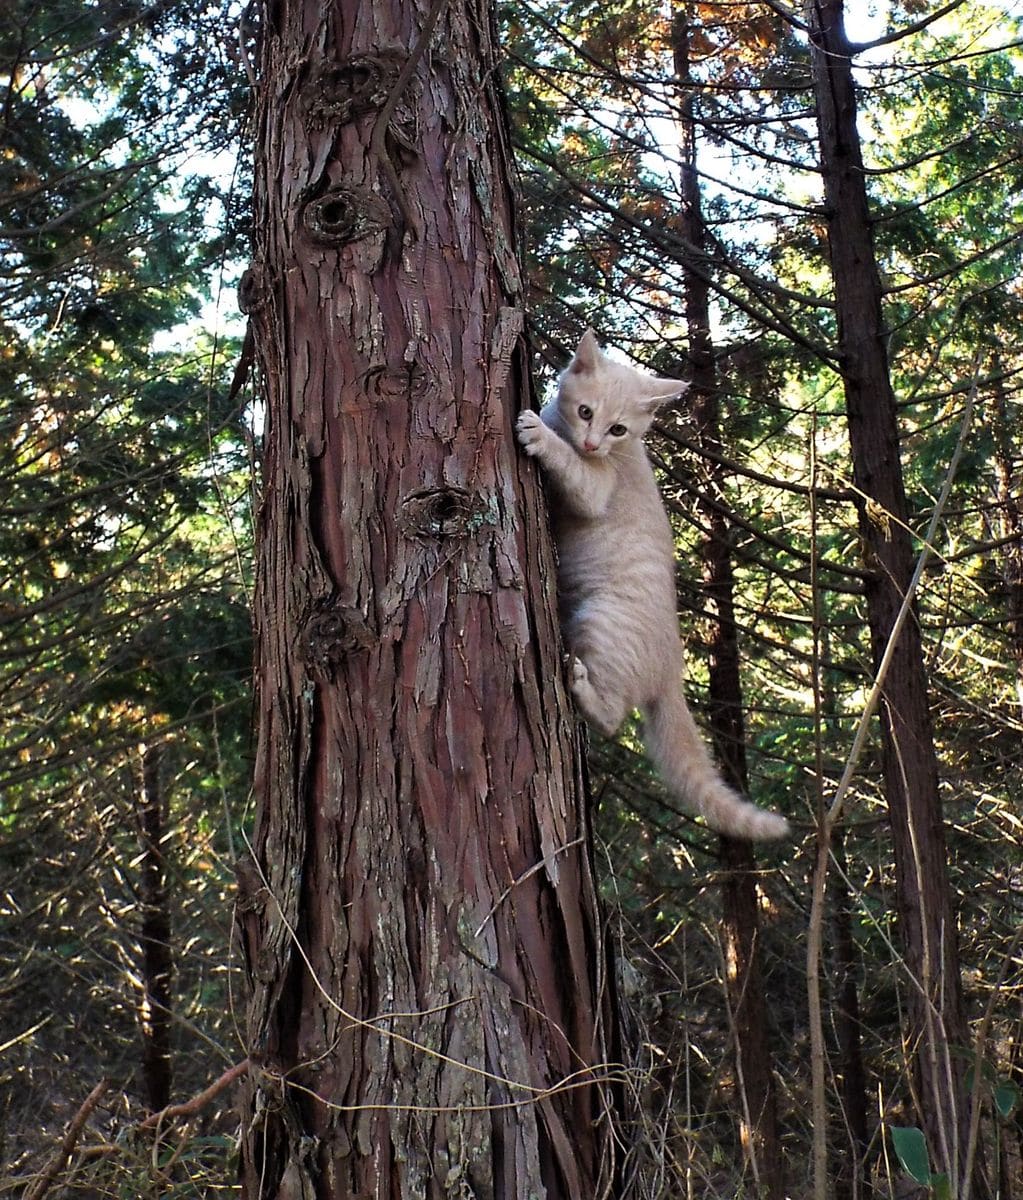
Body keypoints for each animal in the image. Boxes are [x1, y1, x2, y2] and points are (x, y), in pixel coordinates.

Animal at [518, 326, 792, 835]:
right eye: (586, 413)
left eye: (618, 430)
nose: (593, 445)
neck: (619, 455)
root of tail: (671, 671)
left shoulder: (595, 487)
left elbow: (569, 468)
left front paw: (540, 436)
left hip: (602, 621)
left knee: (611, 717)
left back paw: (582, 688)